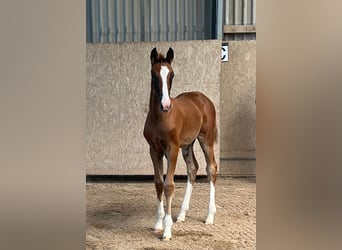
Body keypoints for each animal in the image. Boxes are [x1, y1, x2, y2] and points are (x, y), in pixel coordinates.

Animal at [143, 47, 218, 240]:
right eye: (153, 74)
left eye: (172, 74)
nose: (165, 105)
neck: (161, 117)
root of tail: (203, 98)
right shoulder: (154, 150)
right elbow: (158, 183)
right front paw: (158, 223)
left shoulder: (172, 149)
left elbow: (169, 185)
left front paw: (167, 231)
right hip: (188, 144)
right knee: (193, 168)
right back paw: (182, 214)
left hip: (205, 139)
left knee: (211, 168)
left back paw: (209, 216)